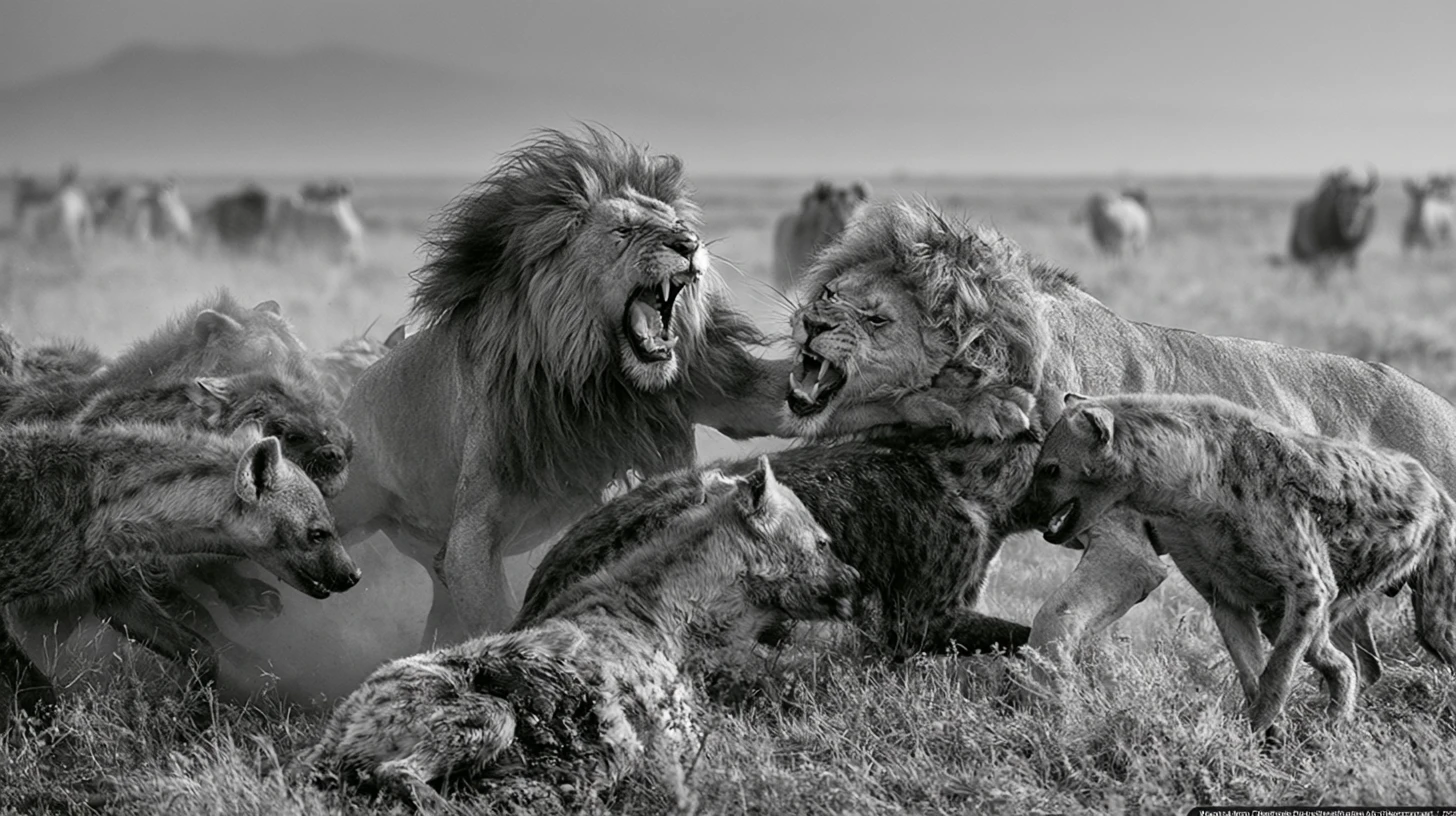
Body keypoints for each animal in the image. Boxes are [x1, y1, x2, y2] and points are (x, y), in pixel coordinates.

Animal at [330, 128, 1022, 645]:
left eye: (673, 222)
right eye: (624, 231)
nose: (689, 244)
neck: (599, 376)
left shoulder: (709, 388)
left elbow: (845, 400)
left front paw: (972, 400)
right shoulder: (477, 527)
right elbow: (497, 605)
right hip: (352, 509)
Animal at [785, 199, 1456, 685]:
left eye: (877, 318)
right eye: (829, 295)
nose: (809, 323)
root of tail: (1442, 406)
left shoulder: (1128, 549)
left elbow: (1051, 622)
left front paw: (1048, 706)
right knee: (1364, 664)